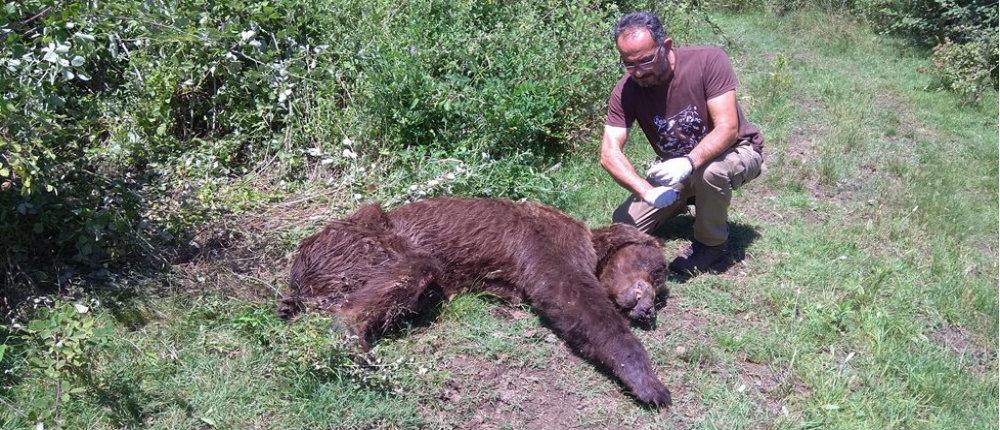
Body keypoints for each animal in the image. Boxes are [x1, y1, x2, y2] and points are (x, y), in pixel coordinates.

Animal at [282, 198, 672, 406]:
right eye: (657, 272)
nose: (648, 309)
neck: (592, 244)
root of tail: (297, 273)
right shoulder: (552, 245)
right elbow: (574, 300)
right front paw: (648, 381)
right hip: (361, 247)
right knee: (410, 268)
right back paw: (354, 343)